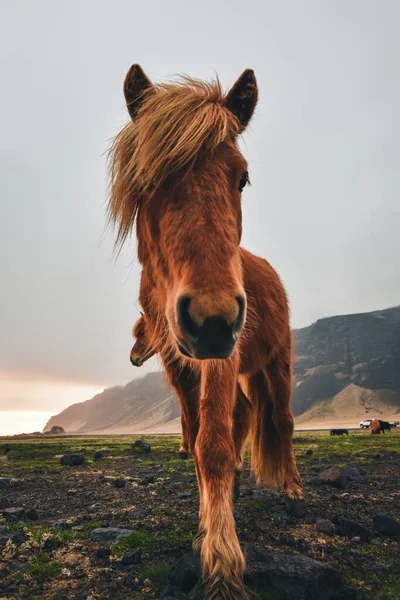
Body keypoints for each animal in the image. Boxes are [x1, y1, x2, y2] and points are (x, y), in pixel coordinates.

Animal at [108, 65, 302, 600]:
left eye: (243, 178)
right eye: (147, 179)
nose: (213, 318)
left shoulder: (220, 358)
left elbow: (213, 444)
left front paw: (222, 562)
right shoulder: (181, 367)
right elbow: (197, 438)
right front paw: (208, 520)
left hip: (275, 364)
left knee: (281, 421)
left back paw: (293, 488)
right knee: (245, 414)